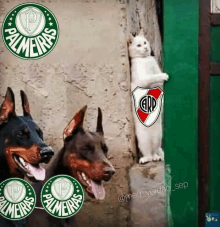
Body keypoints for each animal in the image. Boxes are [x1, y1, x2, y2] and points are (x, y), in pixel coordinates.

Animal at [128, 29, 169, 163]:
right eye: (138, 45)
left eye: (145, 42)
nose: (146, 48)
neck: (145, 59)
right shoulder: (141, 80)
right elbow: (152, 77)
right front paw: (163, 76)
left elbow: (156, 78)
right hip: (143, 140)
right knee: (147, 153)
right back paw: (145, 159)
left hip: (158, 138)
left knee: (155, 152)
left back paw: (156, 157)